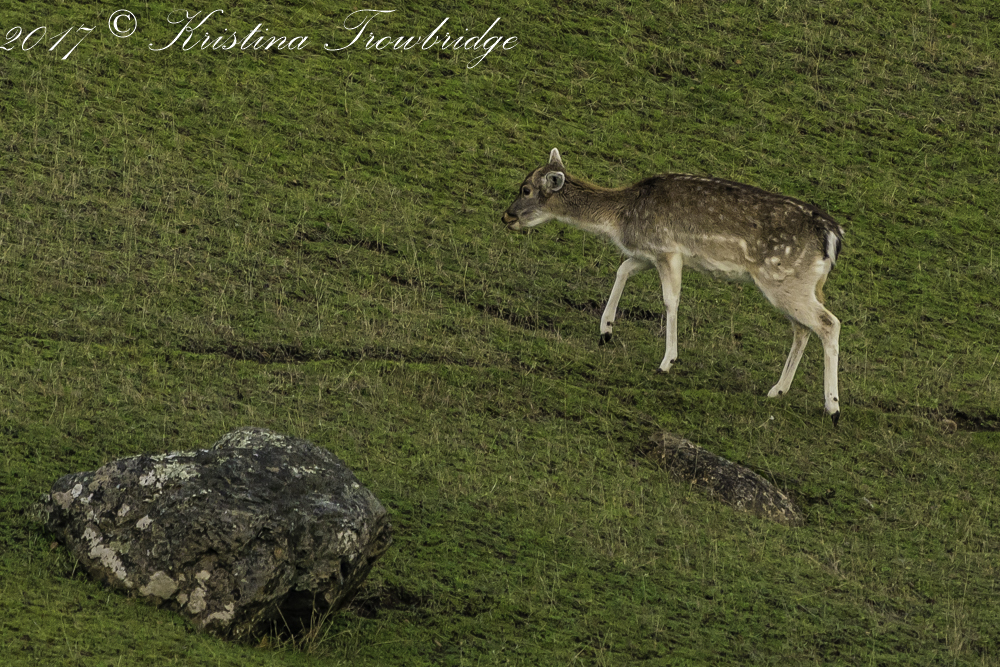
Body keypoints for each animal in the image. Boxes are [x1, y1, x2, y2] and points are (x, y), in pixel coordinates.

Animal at [502, 148, 845, 425]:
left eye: (526, 189)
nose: (506, 216)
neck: (621, 218)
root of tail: (833, 237)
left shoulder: (667, 250)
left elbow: (670, 300)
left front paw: (667, 361)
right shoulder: (647, 252)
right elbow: (623, 268)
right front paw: (606, 330)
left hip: (784, 279)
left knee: (829, 323)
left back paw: (833, 408)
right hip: (803, 284)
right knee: (802, 327)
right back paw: (778, 390)